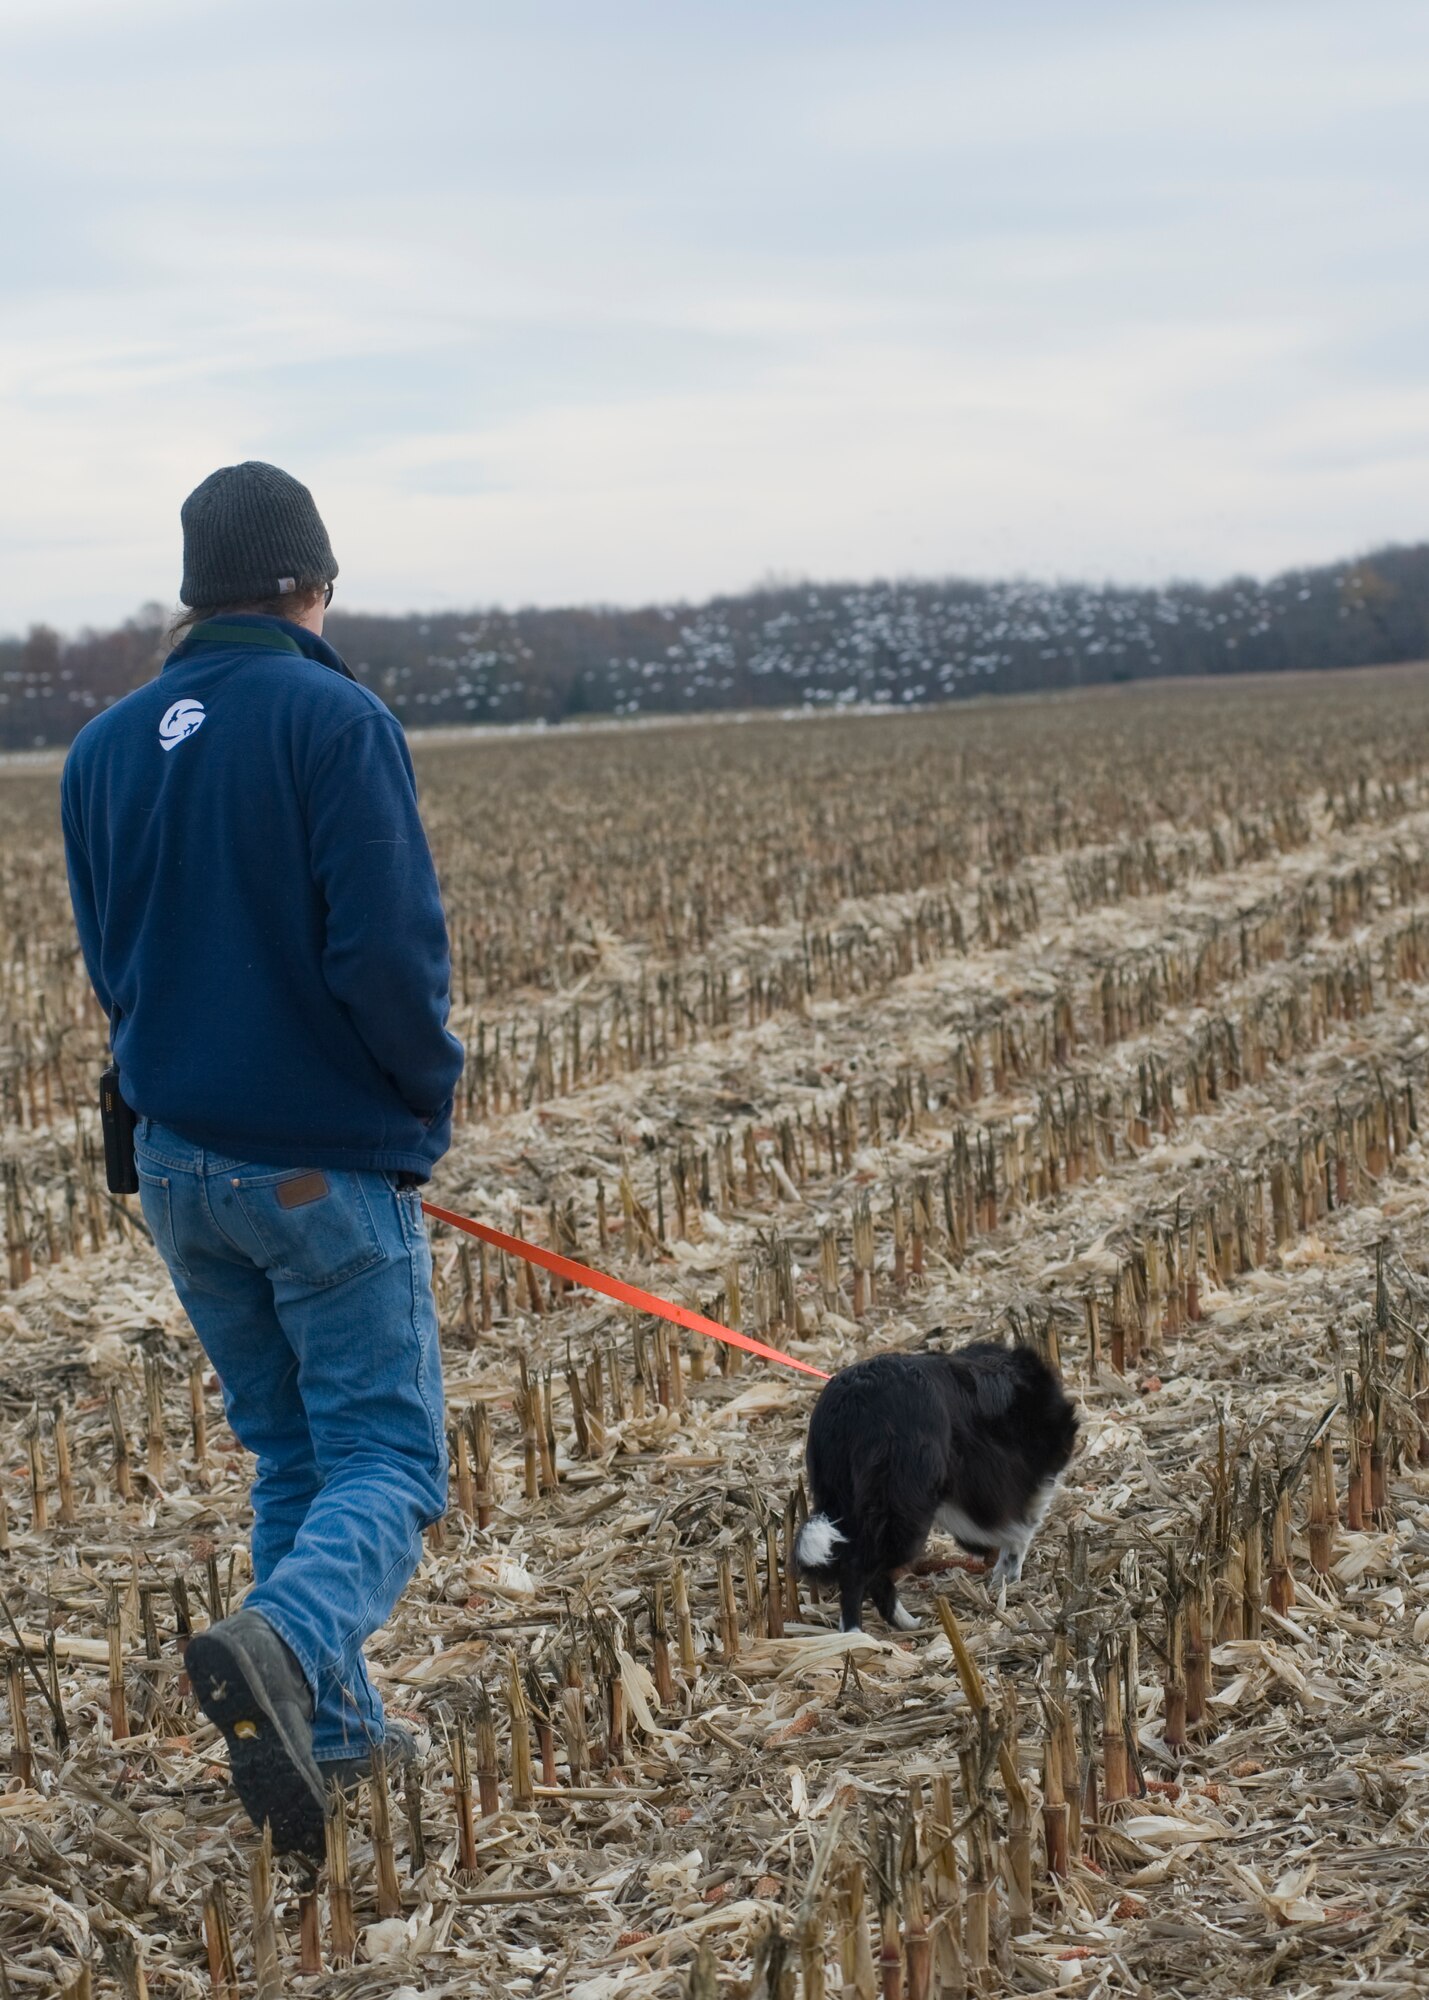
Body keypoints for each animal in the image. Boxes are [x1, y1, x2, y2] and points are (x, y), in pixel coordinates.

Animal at [784, 1344, 1072, 1624]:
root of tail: (853, 1404)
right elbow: (1017, 1527)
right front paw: (1008, 1571)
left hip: (842, 1494)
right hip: (903, 1507)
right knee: (861, 1569)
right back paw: (865, 1631)